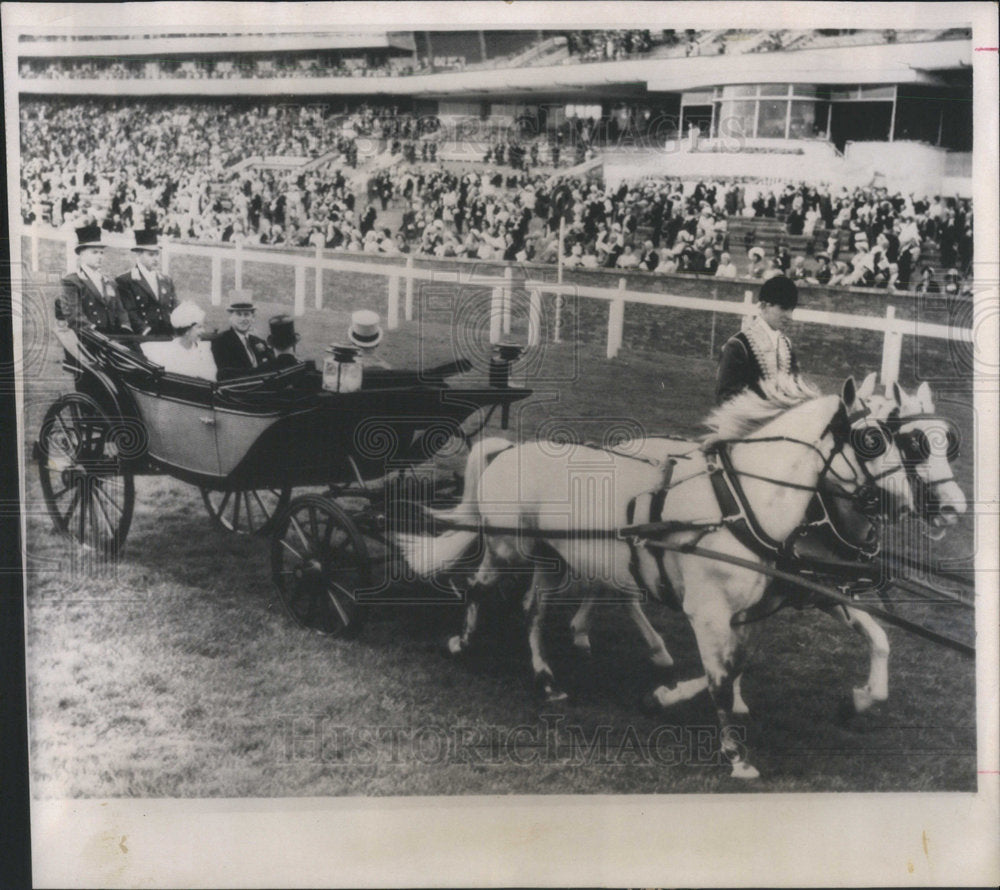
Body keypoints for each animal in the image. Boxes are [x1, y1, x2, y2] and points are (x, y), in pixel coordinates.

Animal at [396, 376, 908, 776]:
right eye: (870, 440)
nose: (903, 504)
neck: (740, 504)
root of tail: (508, 450)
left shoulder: (745, 611)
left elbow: (734, 666)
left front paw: (661, 697)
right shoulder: (707, 611)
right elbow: (721, 679)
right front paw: (734, 755)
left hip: (549, 558)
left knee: (533, 612)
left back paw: (546, 679)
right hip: (508, 546)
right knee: (478, 588)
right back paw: (462, 643)